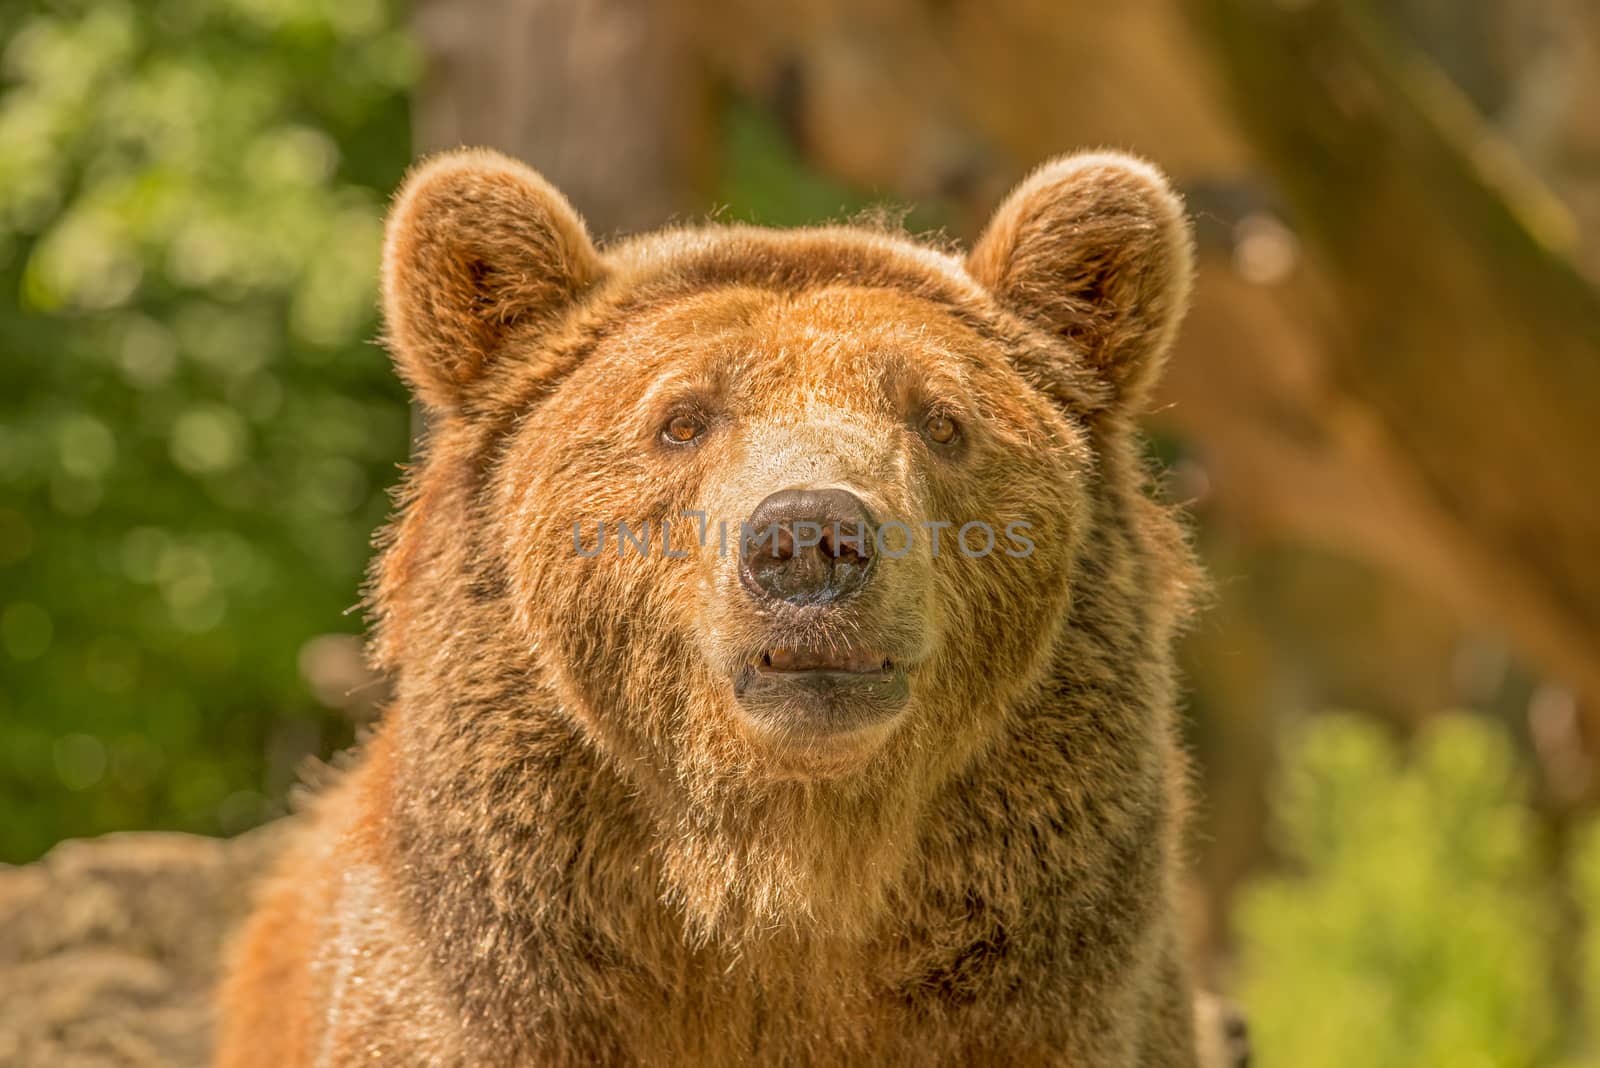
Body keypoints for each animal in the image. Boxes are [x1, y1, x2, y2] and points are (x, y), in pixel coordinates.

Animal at [219, 146, 1203, 1061]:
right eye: (682, 419)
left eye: (940, 419)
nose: (810, 539)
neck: (780, 874)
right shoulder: (491, 999)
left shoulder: (1048, 1014)